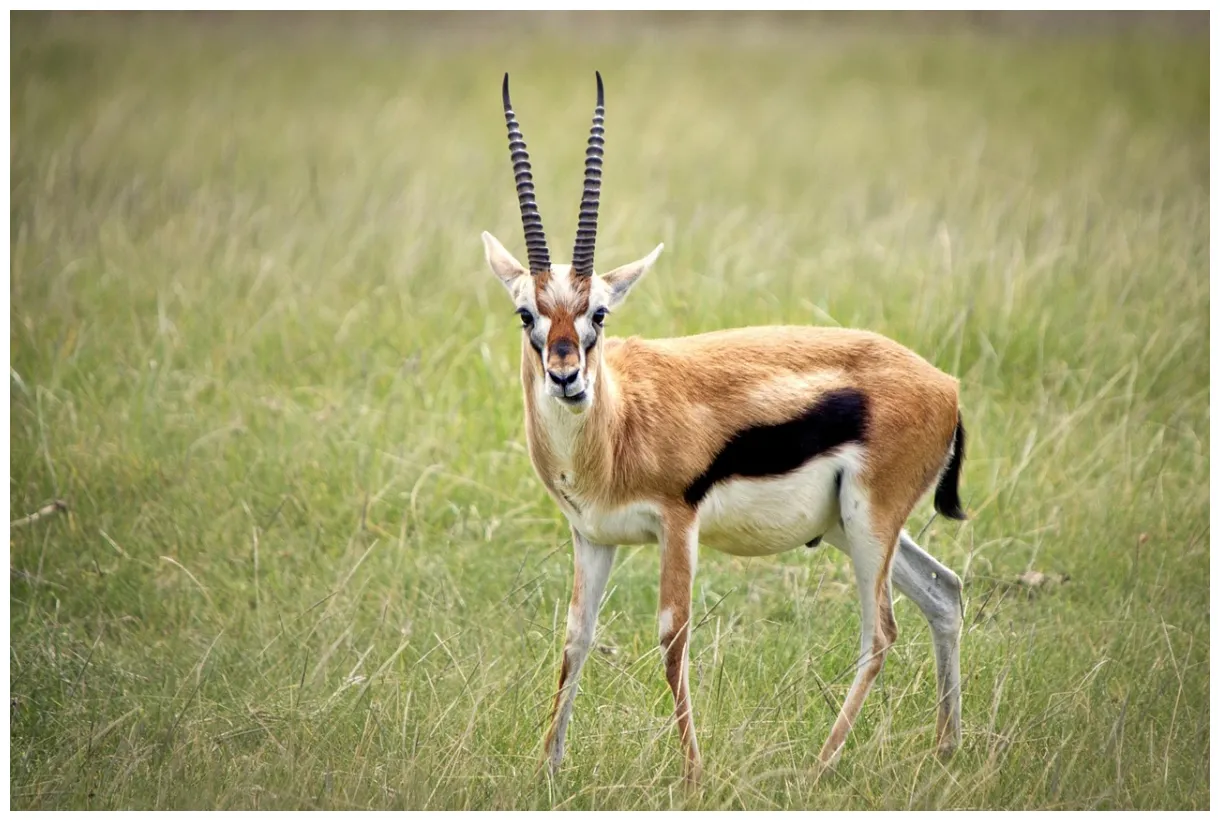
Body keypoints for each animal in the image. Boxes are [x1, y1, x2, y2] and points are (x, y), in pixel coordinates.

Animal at [482, 73, 967, 784]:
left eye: (599, 312)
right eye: (527, 315)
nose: (566, 377)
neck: (618, 424)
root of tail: (946, 386)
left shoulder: (677, 524)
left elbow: (671, 638)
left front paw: (693, 776)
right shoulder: (591, 537)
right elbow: (575, 637)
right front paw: (548, 769)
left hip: (869, 522)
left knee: (880, 631)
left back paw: (819, 766)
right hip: (851, 528)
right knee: (944, 592)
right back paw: (946, 750)